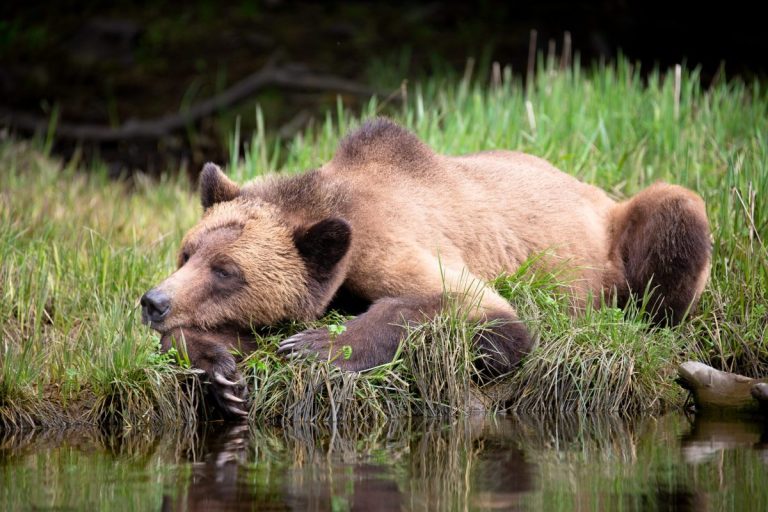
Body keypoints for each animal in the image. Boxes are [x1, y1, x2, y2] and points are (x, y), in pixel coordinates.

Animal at [140, 117, 712, 417]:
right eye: (188, 253)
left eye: (227, 270)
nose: (154, 302)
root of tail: (594, 189)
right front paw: (220, 371)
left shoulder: (393, 243)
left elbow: (478, 312)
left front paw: (316, 346)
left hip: (619, 234)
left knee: (675, 213)